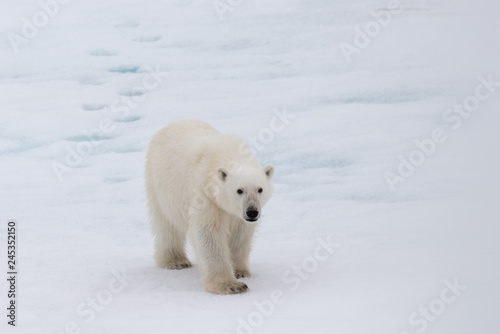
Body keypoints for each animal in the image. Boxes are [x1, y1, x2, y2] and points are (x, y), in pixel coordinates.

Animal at [145, 118, 276, 294]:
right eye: (239, 190)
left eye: (260, 189)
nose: (252, 212)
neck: (227, 154)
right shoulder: (206, 197)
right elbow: (209, 234)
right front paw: (231, 285)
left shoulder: (238, 217)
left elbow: (241, 235)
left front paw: (241, 272)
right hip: (157, 184)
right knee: (166, 224)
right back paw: (176, 261)